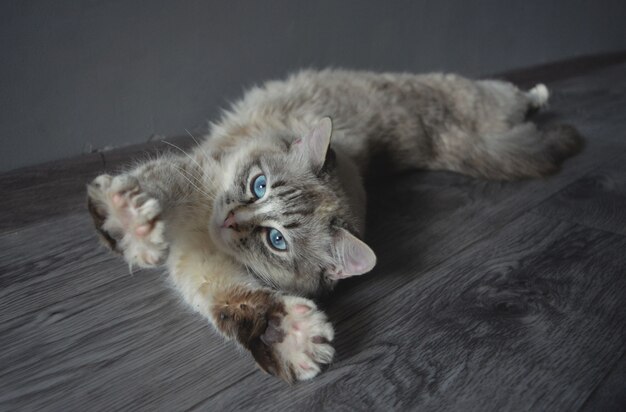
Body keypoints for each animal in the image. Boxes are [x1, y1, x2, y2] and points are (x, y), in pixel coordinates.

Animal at [86, 68, 580, 384]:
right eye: (258, 185)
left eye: (276, 239)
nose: (229, 220)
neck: (201, 231)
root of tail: (457, 137)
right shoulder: (195, 197)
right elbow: (158, 186)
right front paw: (129, 220)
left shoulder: (208, 269)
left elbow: (241, 306)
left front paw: (289, 337)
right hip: (479, 98)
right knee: (519, 98)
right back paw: (541, 92)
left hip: (488, 102)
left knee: (520, 98)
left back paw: (542, 92)